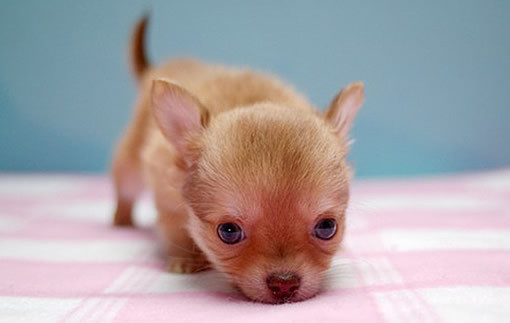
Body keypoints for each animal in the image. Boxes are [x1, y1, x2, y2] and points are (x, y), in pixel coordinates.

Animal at [113, 15, 364, 304]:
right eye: (228, 232)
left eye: (327, 227)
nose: (284, 283)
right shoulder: (166, 194)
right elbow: (176, 229)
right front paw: (186, 260)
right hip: (130, 166)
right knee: (124, 190)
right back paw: (121, 221)